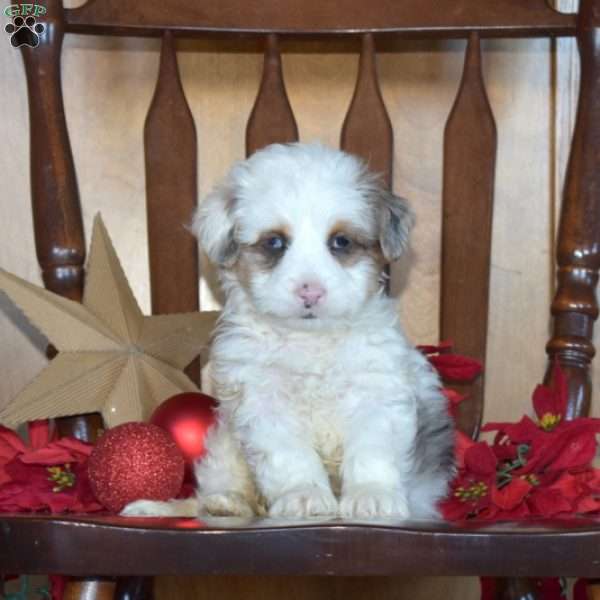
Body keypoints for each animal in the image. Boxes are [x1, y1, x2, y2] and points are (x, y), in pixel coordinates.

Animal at [124, 142, 452, 520]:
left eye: (340, 242)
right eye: (275, 243)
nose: (310, 292)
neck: (310, 341)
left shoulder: (377, 390)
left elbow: (373, 449)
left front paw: (373, 496)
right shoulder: (264, 401)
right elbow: (290, 457)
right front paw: (304, 496)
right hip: (224, 443)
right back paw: (225, 503)